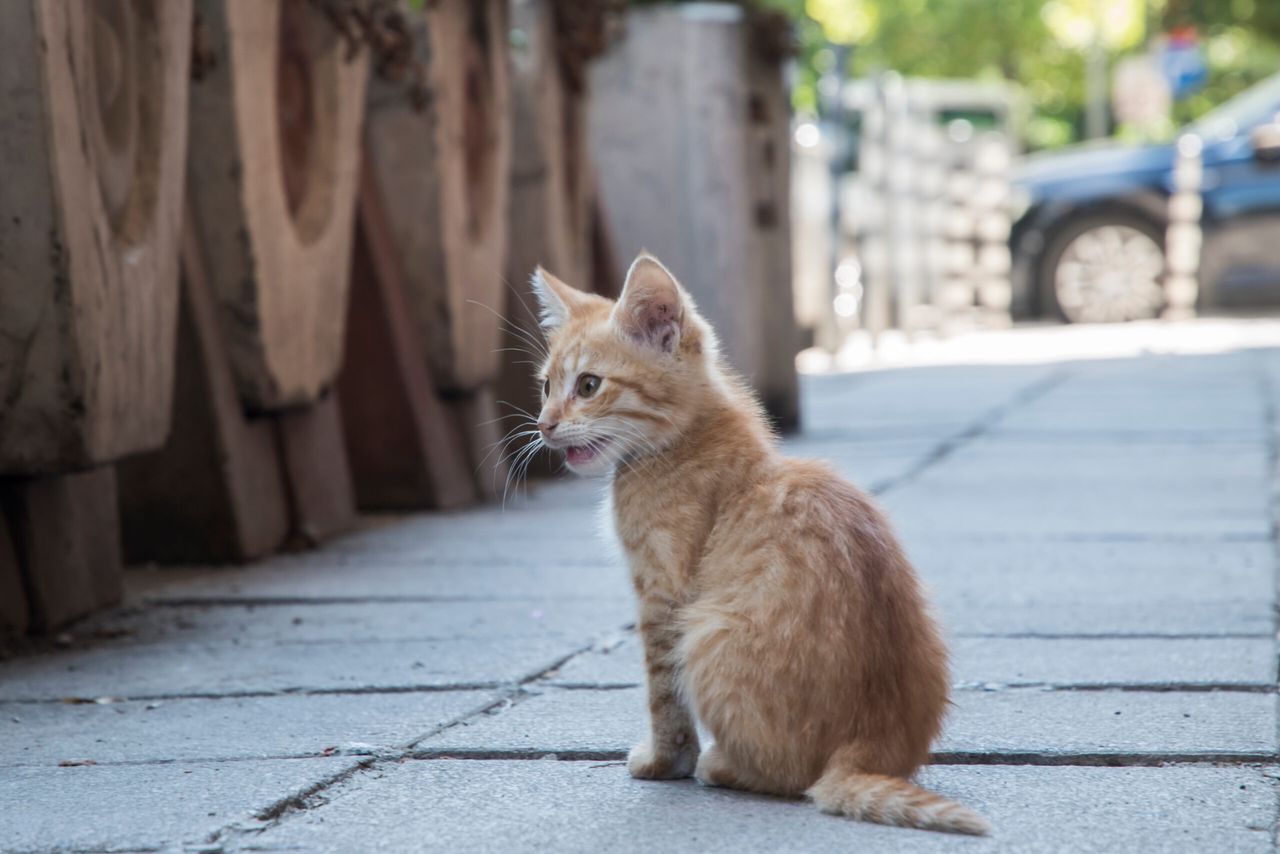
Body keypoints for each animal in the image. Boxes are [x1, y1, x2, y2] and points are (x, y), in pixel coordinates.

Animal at [529, 252, 988, 834]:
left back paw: (719, 764)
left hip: (705, 631)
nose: (543, 425)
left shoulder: (662, 596)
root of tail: (864, 749)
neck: (684, 440)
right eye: (546, 387)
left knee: (792, 776)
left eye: (588, 386)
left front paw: (664, 762)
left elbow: (663, 693)